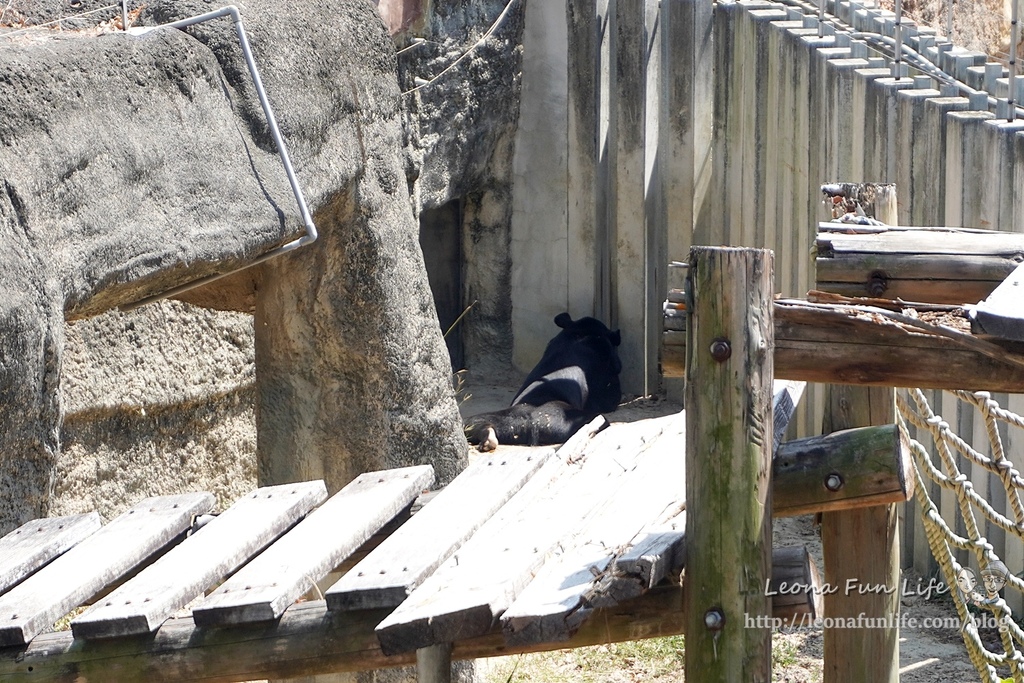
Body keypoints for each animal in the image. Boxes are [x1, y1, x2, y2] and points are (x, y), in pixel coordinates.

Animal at [466, 313, 622, 450]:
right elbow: (608, 397)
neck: (581, 333)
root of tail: (531, 423)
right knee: (599, 419)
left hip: (503, 420)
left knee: (474, 422)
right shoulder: (603, 367)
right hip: (567, 421)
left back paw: (487, 439)